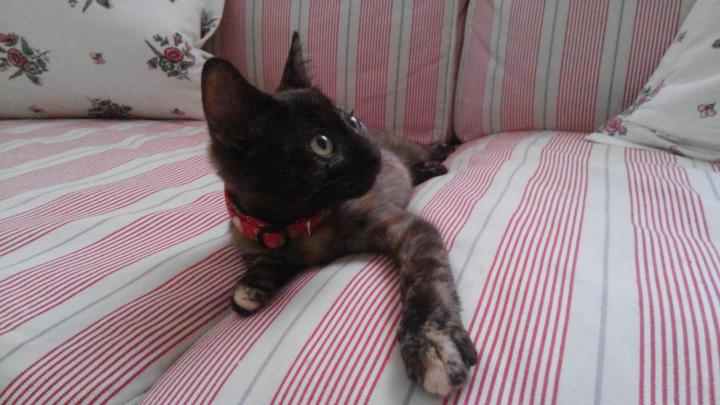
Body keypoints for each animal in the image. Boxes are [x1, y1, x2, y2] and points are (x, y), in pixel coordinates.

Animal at [201, 33, 477, 397]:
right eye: (322, 144)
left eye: (353, 121)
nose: (375, 153)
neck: (294, 224)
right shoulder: (247, 236)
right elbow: (262, 260)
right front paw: (253, 285)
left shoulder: (408, 228)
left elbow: (427, 278)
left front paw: (433, 341)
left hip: (408, 150)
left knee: (423, 153)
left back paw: (437, 159)